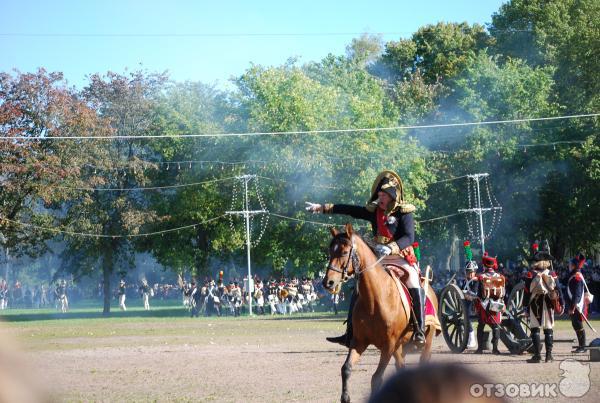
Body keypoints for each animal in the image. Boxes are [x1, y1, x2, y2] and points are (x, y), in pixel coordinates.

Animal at [322, 224, 438, 403]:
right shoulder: (359, 342)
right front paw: (345, 397)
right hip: (400, 346)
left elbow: (376, 378)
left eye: (343, 252)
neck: (375, 299)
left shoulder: (388, 345)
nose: (328, 282)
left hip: (426, 340)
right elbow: (346, 368)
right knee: (401, 367)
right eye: (330, 252)